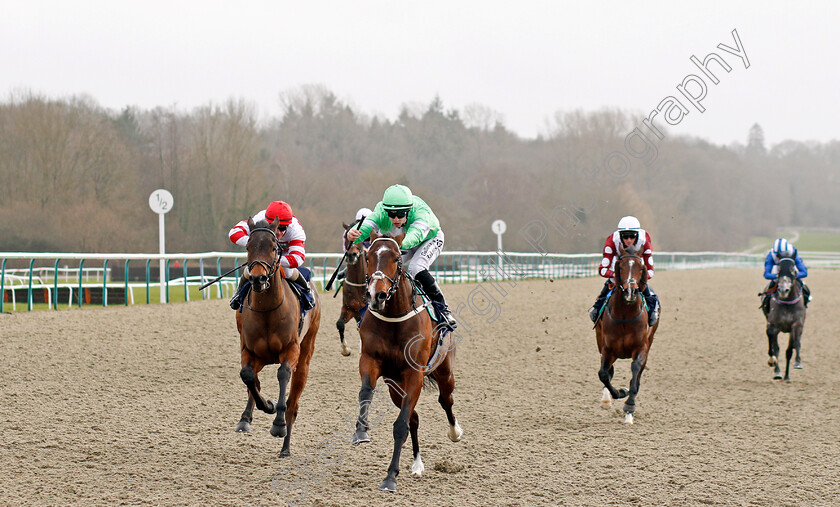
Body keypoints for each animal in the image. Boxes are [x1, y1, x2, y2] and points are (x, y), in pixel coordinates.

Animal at [233, 216, 322, 458]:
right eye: (248, 247)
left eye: (274, 248)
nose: (258, 278)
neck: (267, 310)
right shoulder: (249, 351)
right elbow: (248, 377)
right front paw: (264, 407)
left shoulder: (290, 350)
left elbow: (283, 375)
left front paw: (278, 423)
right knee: (253, 380)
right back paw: (247, 419)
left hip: (305, 355)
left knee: (294, 402)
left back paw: (285, 446)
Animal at [352, 237, 462, 492]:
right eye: (368, 257)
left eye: (396, 259)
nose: (377, 295)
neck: (394, 316)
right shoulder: (370, 360)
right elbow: (366, 392)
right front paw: (361, 431)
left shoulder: (415, 374)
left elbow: (400, 426)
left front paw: (390, 477)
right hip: (395, 386)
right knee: (414, 418)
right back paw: (417, 464)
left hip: (445, 372)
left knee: (446, 400)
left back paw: (455, 432)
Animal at [592, 244, 660, 426]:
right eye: (621, 267)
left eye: (641, 267)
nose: (630, 291)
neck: (625, 316)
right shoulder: (607, 348)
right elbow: (603, 374)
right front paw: (620, 392)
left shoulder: (641, 347)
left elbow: (635, 371)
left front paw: (629, 407)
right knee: (608, 371)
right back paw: (607, 398)